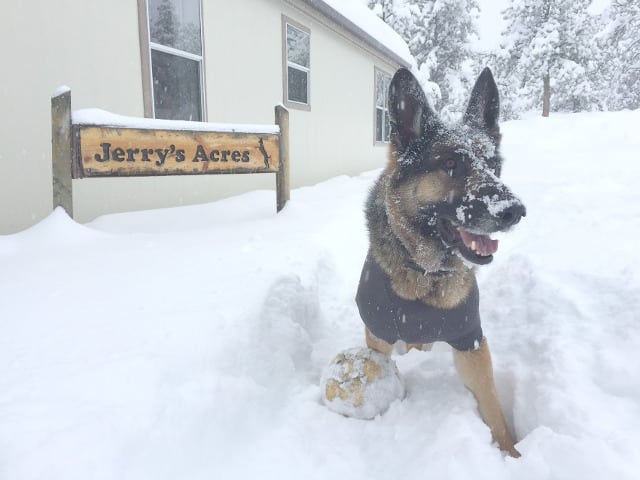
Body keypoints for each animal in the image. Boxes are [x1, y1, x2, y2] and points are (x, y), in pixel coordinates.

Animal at [356, 67, 524, 458]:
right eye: (450, 164)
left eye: (494, 165)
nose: (514, 211)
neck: (426, 272)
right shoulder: (379, 336)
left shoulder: (470, 340)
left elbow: (493, 407)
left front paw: (512, 454)